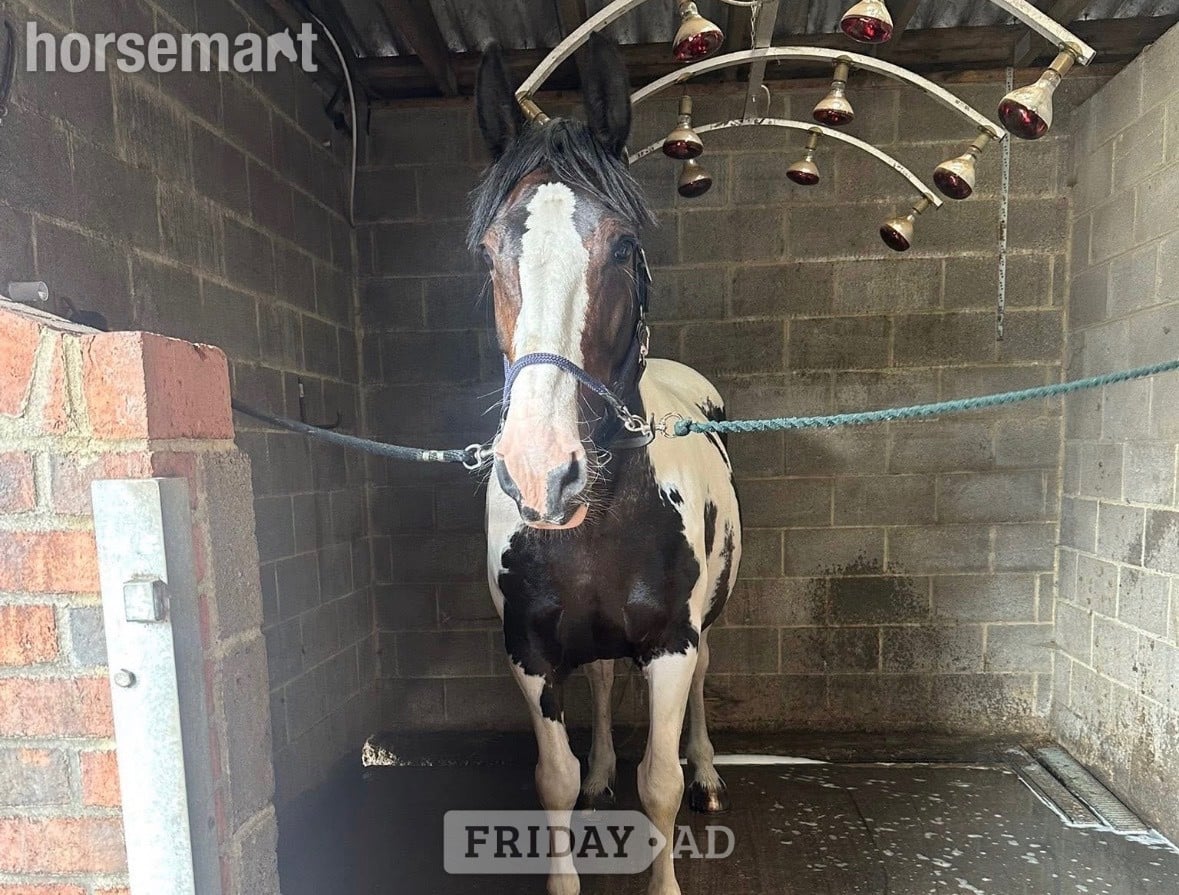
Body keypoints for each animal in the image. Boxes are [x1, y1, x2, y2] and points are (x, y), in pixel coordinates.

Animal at [470, 35, 742, 895]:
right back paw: (599, 772)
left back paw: (709, 771)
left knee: (705, 683)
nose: (539, 471)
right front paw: (582, 782)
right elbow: (551, 778)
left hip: (707, 619)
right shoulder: (528, 650)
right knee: (596, 679)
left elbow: (658, 782)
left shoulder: (669, 644)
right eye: (489, 253)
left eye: (622, 245)